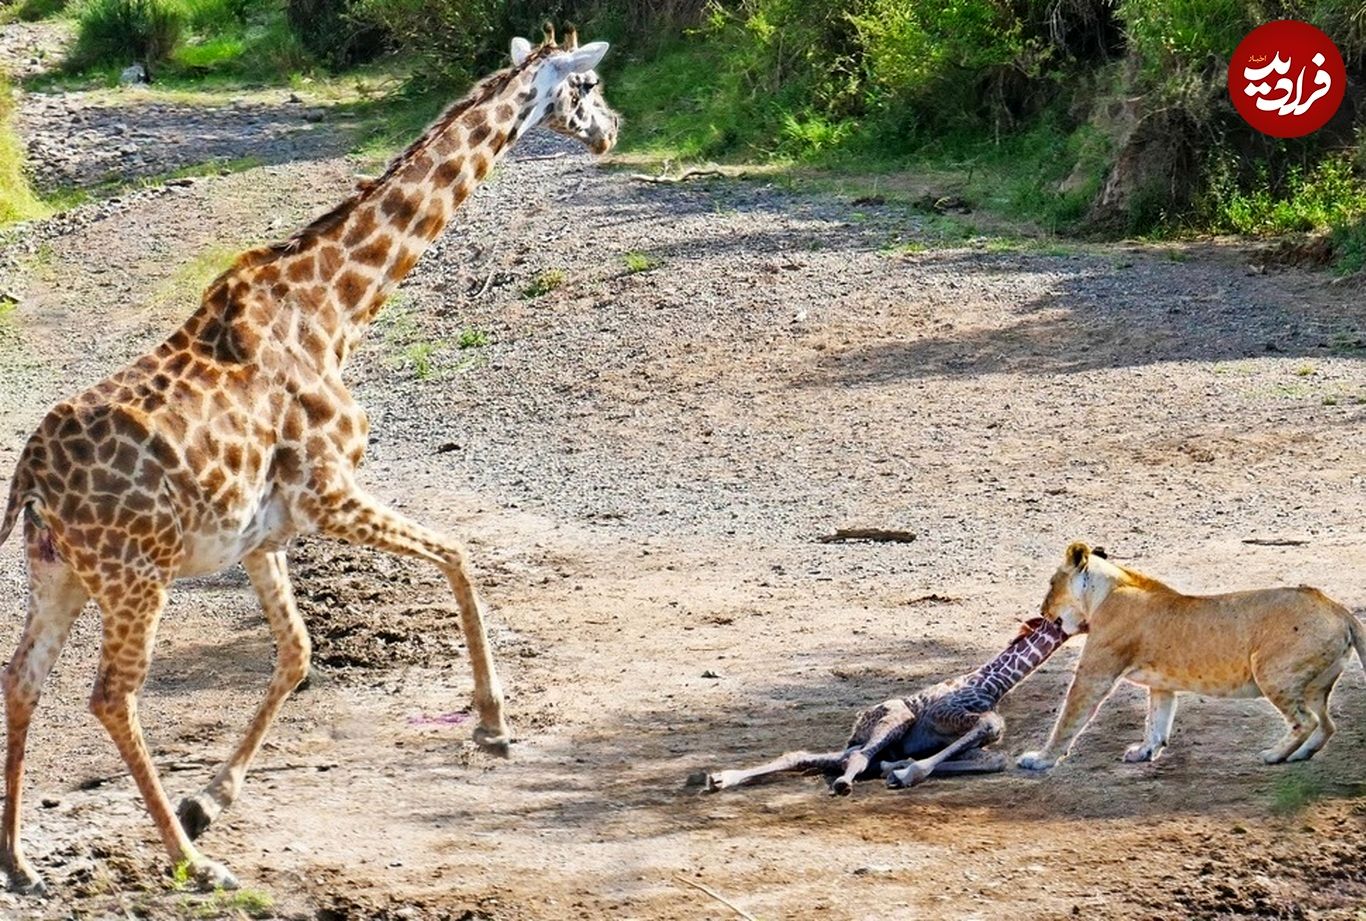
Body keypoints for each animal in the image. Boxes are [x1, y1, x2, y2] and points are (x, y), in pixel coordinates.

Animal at [0, 28, 620, 890]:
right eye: (588, 85)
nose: (612, 131)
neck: (336, 310)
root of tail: (30, 474)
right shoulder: (331, 489)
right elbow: (458, 555)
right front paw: (494, 723)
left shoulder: (264, 533)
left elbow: (297, 652)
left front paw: (212, 796)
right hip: (136, 573)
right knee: (110, 695)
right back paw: (194, 863)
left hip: (57, 571)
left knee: (21, 679)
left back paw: (20, 860)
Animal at [710, 612, 1070, 792]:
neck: (995, 682)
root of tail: (858, 724)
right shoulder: (948, 714)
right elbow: (990, 724)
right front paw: (906, 773)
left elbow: (995, 757)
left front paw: (899, 770)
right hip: (894, 717)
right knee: (854, 759)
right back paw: (844, 783)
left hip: (871, 740)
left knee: (824, 757)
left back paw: (719, 778)